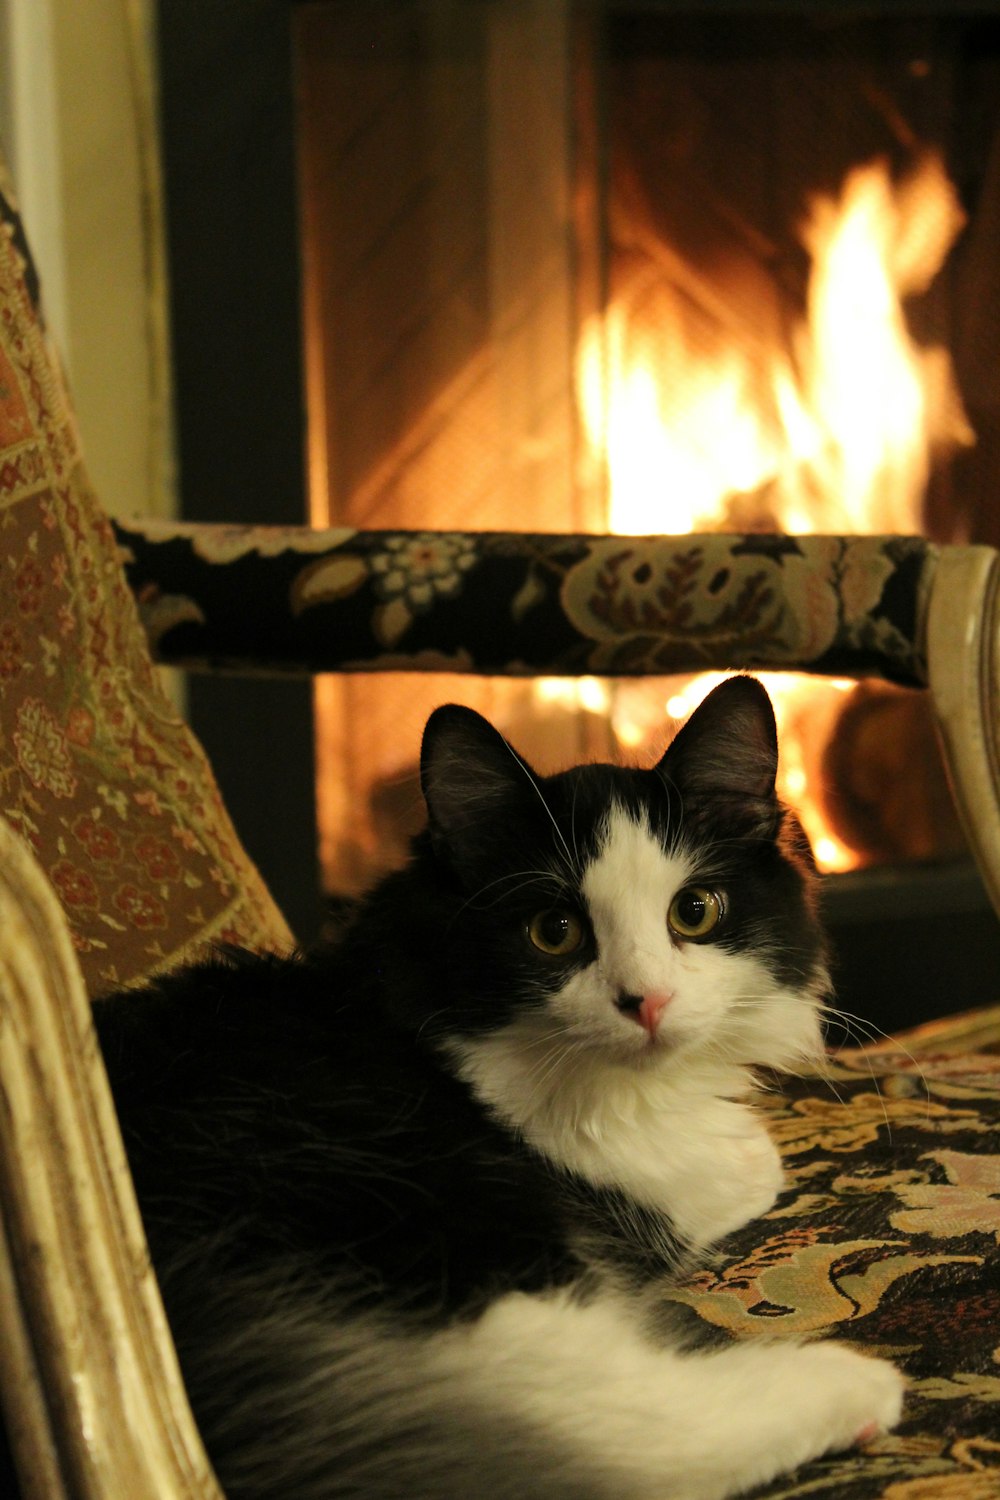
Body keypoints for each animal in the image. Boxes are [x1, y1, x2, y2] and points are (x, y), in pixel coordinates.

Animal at [97, 678, 905, 1500]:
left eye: (695, 912)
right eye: (553, 931)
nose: (646, 1002)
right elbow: (746, 1174)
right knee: (603, 1434)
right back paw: (852, 1386)